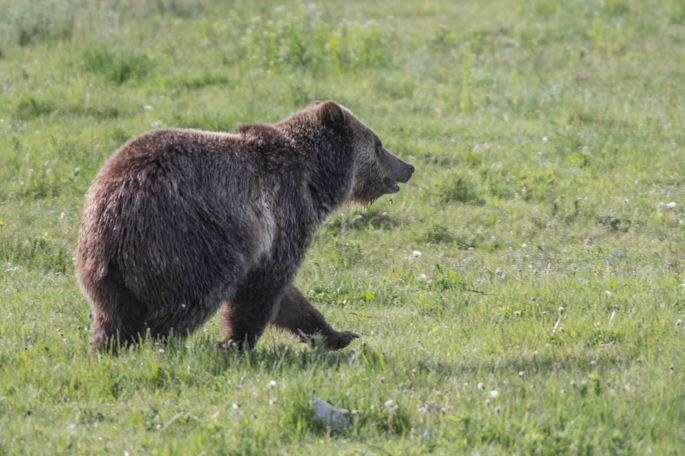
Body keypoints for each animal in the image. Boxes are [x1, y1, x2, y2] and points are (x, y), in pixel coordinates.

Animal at [76, 101, 414, 354]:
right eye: (379, 145)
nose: (408, 167)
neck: (315, 180)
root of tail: (116, 212)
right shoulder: (283, 216)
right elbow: (262, 289)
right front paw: (234, 342)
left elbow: (289, 298)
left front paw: (339, 335)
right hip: (188, 238)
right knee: (193, 297)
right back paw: (165, 344)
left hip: (102, 266)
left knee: (113, 315)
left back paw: (107, 347)